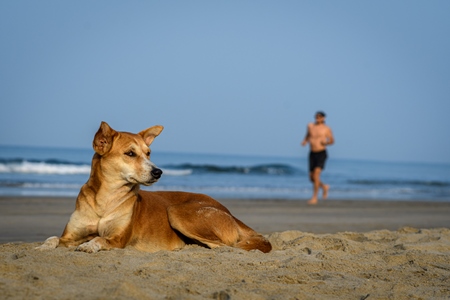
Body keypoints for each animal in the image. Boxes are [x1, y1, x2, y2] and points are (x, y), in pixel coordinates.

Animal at [36, 122, 270, 253]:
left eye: (148, 153)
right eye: (130, 153)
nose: (158, 172)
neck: (106, 199)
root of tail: (229, 212)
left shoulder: (118, 238)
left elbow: (100, 238)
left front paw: (89, 245)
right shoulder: (71, 235)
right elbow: (53, 238)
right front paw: (42, 246)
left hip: (177, 211)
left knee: (224, 246)